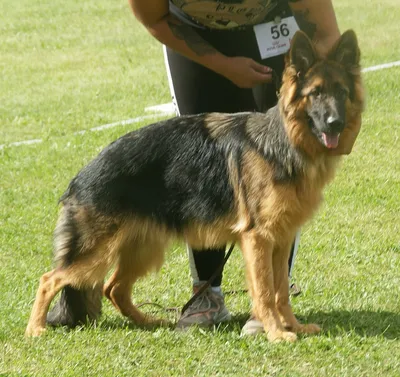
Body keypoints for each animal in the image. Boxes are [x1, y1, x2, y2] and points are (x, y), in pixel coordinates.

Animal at [25, 30, 362, 340]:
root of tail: (79, 178)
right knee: (50, 279)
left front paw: (293, 326)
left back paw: (148, 322)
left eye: (341, 92)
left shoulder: (281, 240)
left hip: (143, 249)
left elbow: (280, 291)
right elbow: (266, 292)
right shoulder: (258, 240)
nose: (335, 124)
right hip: (96, 254)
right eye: (315, 93)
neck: (282, 144)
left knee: (113, 288)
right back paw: (35, 329)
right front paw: (277, 333)